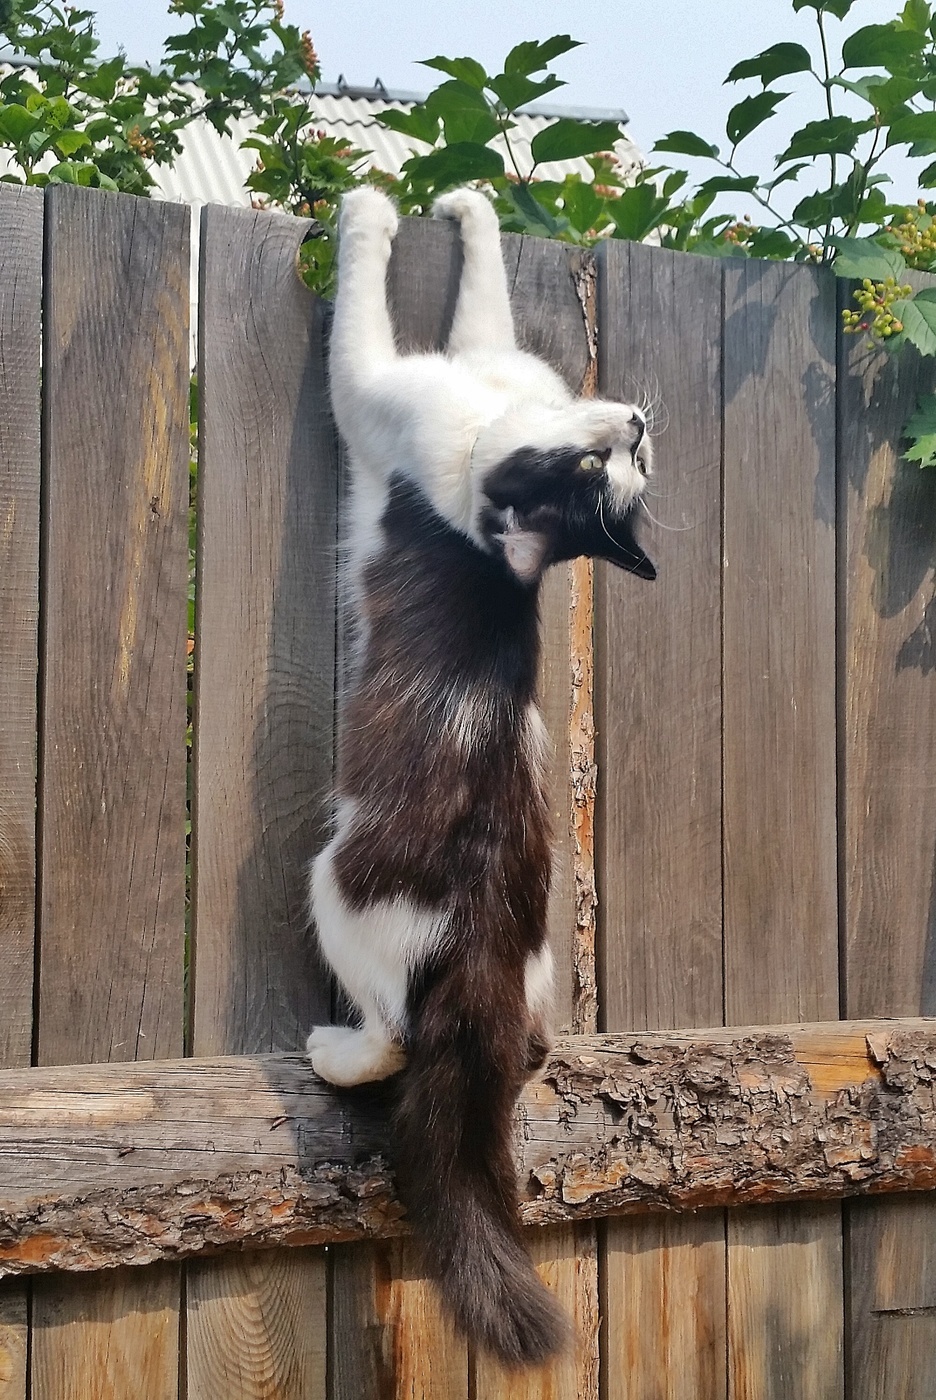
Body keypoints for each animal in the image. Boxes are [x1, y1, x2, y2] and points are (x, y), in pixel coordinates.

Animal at [303, 186, 654, 1366]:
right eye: (603, 476)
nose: (638, 426)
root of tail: (484, 965)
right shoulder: (485, 354)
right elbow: (485, 292)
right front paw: (466, 201)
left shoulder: (376, 388)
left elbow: (362, 304)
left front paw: (368, 201)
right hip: (539, 971)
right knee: (530, 1045)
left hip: (337, 885)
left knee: (391, 1040)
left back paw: (331, 1049)